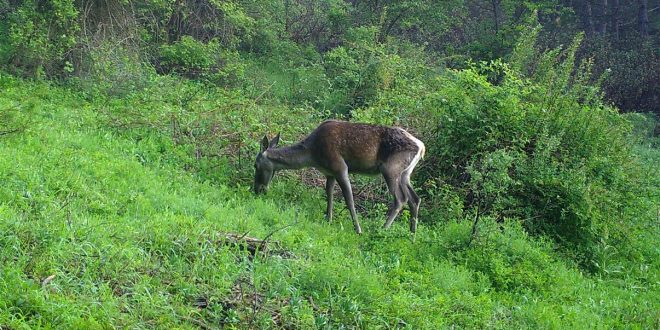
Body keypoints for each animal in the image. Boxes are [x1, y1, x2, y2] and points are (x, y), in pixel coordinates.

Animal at [253, 120, 428, 233]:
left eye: (255, 165)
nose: (256, 190)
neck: (312, 154)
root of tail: (422, 147)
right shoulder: (329, 172)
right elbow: (329, 194)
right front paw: (328, 219)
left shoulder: (340, 167)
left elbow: (349, 200)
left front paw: (358, 229)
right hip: (405, 174)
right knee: (415, 198)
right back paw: (412, 234)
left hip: (391, 169)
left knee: (400, 199)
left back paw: (382, 229)